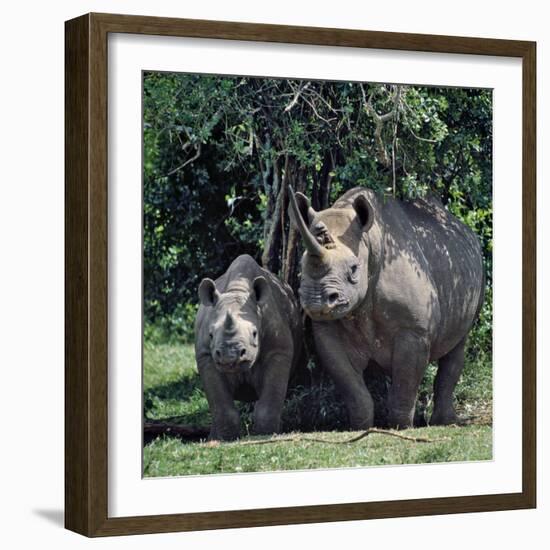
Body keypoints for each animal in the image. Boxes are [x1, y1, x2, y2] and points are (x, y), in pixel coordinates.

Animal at [195, 256, 306, 442]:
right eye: (210, 335)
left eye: (255, 333)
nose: (229, 357)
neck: (237, 290)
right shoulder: (206, 356)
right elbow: (220, 403)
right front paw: (226, 438)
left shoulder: (278, 350)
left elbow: (269, 400)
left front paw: (267, 433)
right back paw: (212, 438)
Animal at [292, 188, 486, 430]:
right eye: (301, 266)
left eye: (354, 269)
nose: (316, 300)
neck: (369, 242)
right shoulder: (327, 330)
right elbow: (351, 385)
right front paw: (361, 427)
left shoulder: (414, 330)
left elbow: (406, 381)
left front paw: (400, 427)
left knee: (458, 344)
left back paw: (444, 422)